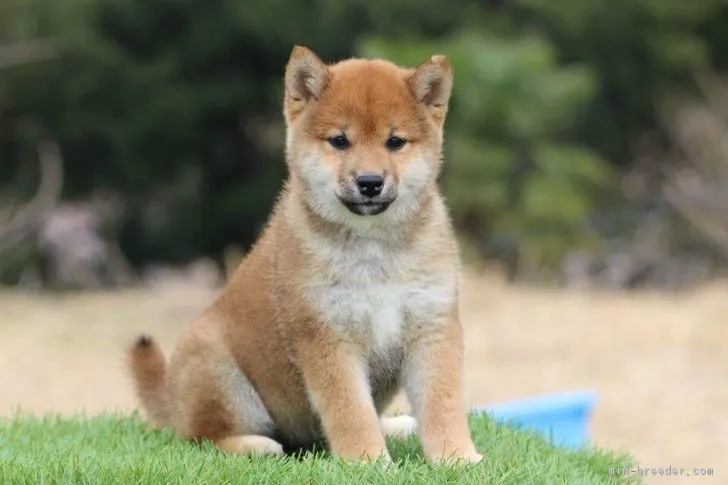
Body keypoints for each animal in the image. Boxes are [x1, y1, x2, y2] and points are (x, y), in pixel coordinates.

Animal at [129, 46, 484, 466]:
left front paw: (457, 457)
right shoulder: (326, 334)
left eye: (395, 142)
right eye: (339, 141)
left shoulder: (432, 324)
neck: (373, 250)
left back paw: (395, 425)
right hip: (218, 371)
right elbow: (351, 411)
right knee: (201, 436)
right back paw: (255, 445)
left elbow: (442, 404)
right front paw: (368, 462)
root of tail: (172, 400)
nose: (369, 182)